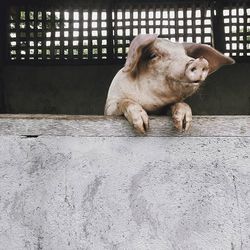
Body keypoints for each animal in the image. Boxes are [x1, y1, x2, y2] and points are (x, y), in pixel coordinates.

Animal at [104, 34, 234, 134]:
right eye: (153, 55)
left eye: (185, 55)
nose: (199, 61)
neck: (151, 107)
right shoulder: (110, 108)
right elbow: (124, 102)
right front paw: (143, 127)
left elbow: (178, 104)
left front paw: (183, 125)